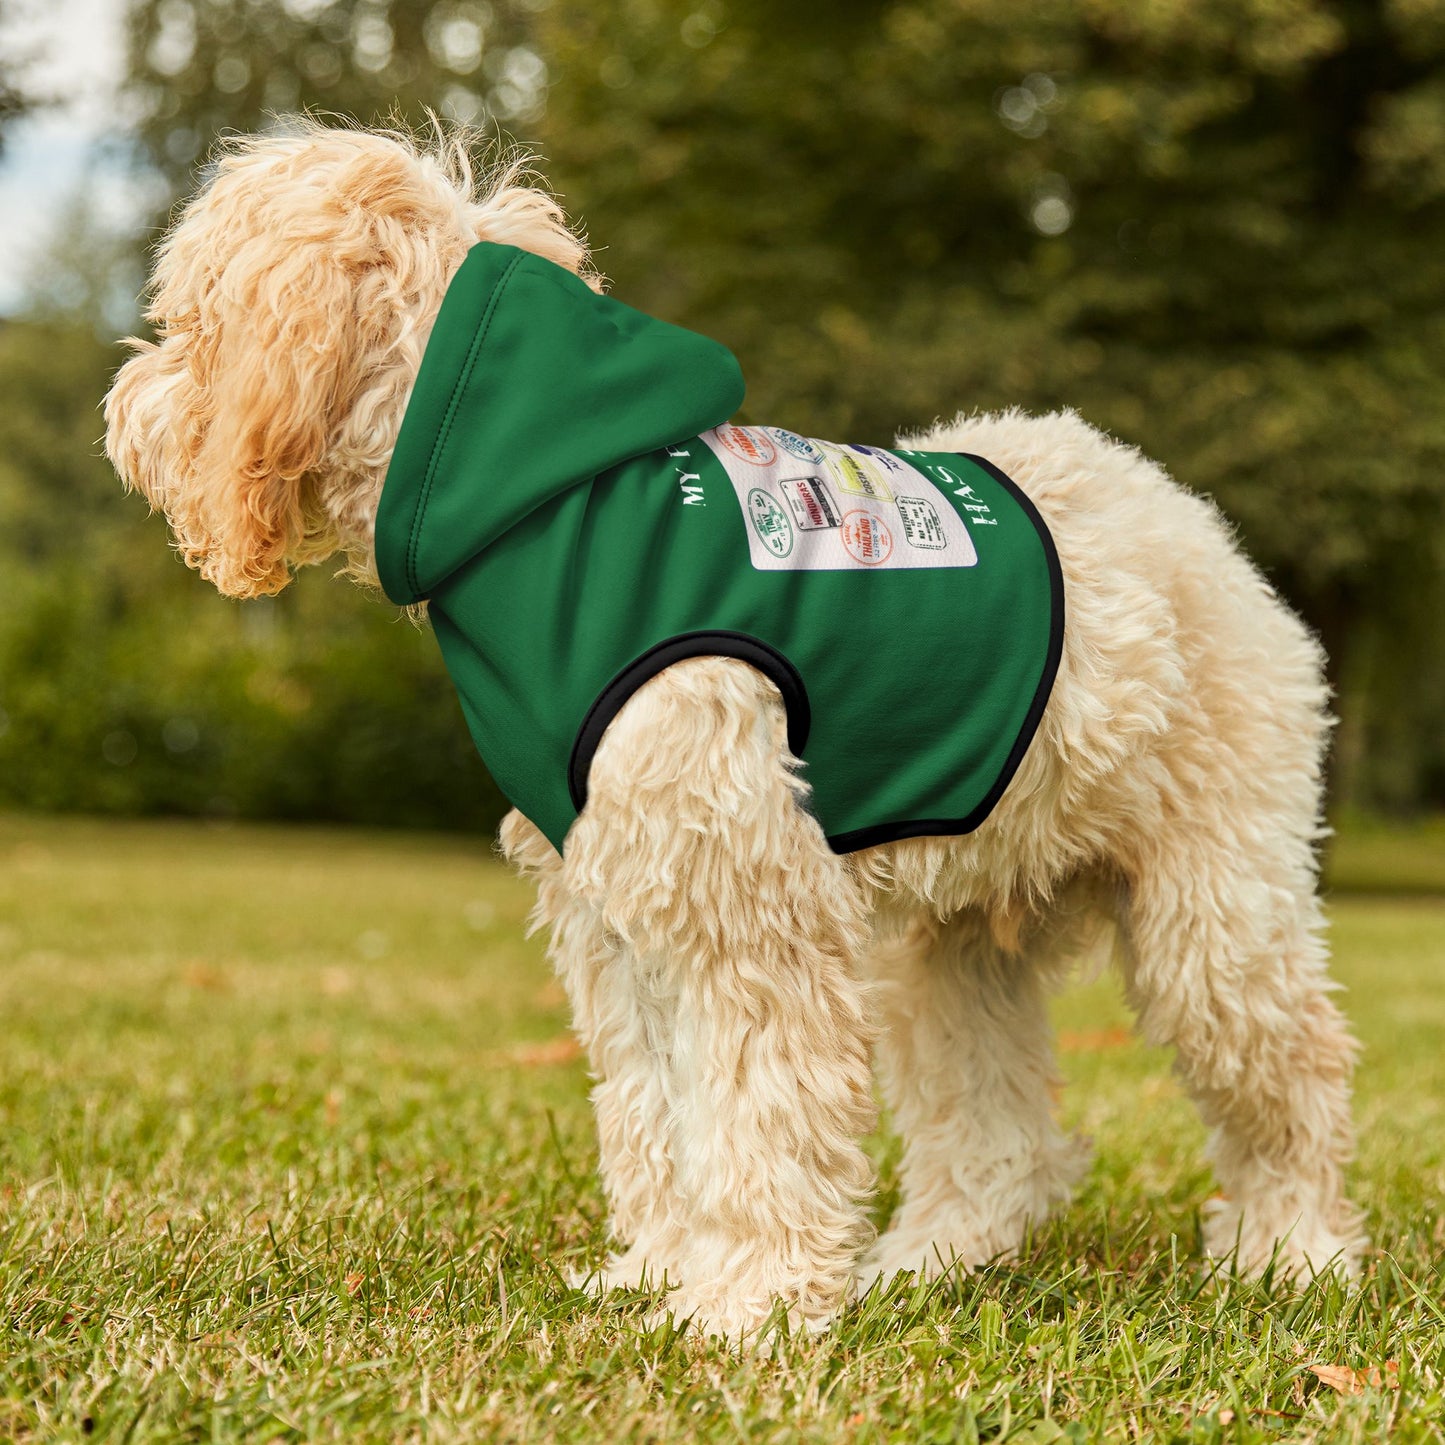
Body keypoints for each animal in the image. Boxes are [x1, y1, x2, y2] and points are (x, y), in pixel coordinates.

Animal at [104, 124, 1364, 1340]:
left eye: (190, 317)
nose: (123, 409)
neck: (542, 503)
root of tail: (1189, 519)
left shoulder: (744, 903)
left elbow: (758, 1112)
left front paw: (747, 1304)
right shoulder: (618, 909)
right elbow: (656, 1111)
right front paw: (662, 1273)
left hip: (1213, 914)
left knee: (1293, 1076)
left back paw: (1290, 1251)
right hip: (950, 947)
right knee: (996, 1135)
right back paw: (929, 1260)